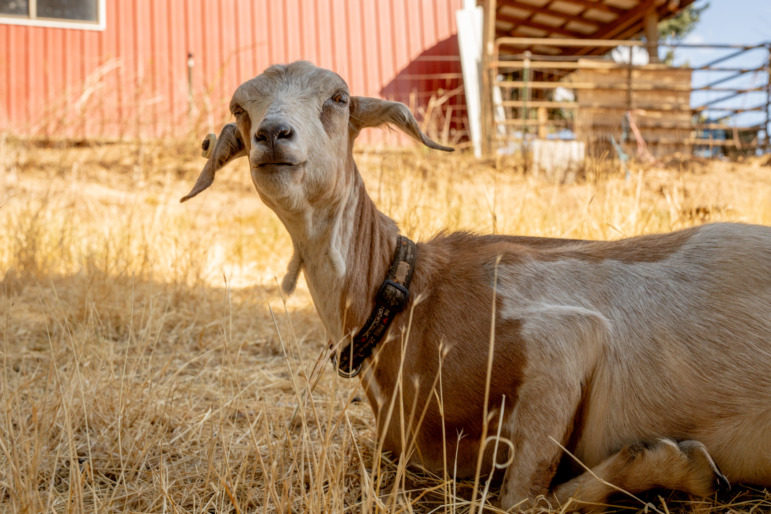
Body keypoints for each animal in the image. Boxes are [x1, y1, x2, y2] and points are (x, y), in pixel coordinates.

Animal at [182, 61, 771, 508]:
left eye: (339, 97)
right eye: (240, 109)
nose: (273, 135)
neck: (406, 295)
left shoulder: (560, 343)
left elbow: (524, 499)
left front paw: (680, 465)